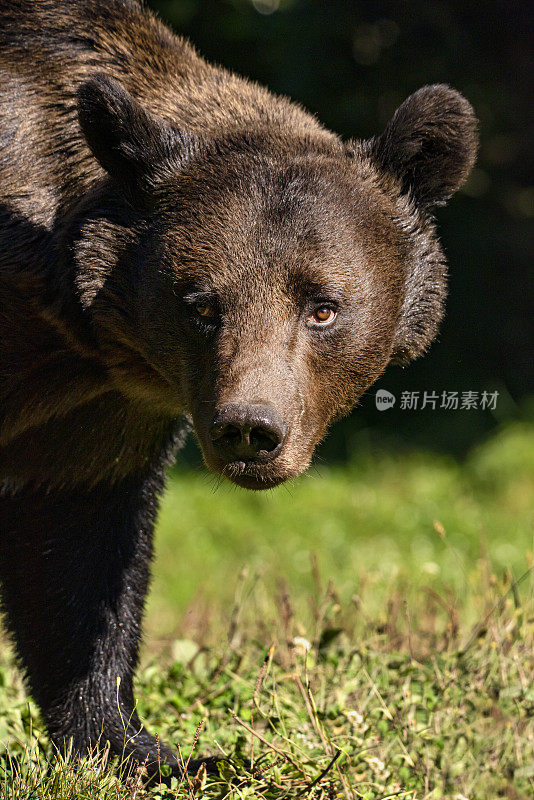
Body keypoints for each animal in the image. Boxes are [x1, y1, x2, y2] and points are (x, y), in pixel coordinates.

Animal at [0, 0, 478, 780]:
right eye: (201, 303)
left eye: (322, 306)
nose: (250, 428)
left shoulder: (95, 416)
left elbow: (80, 561)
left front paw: (141, 748)